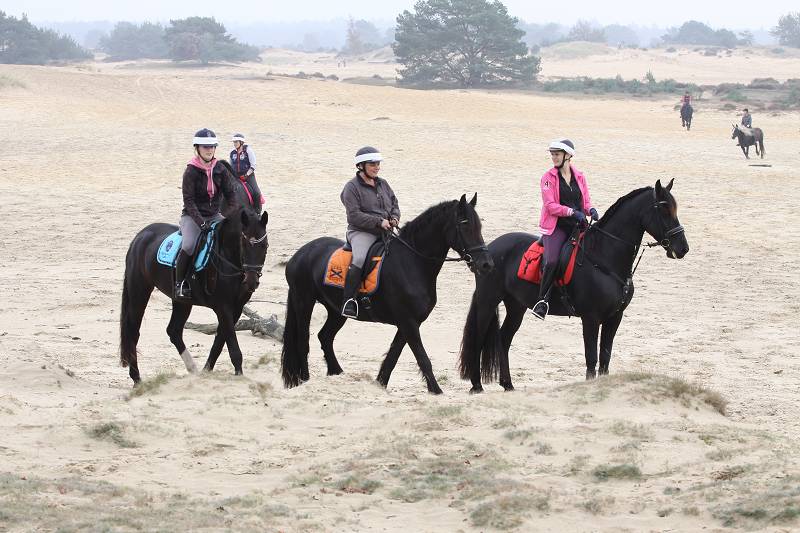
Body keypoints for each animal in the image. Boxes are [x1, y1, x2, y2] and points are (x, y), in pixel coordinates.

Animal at [119, 164, 269, 385]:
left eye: (264, 245)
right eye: (244, 243)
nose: (251, 281)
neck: (227, 256)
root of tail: (140, 236)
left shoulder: (236, 307)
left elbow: (220, 339)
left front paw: (208, 370)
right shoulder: (223, 306)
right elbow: (232, 344)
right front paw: (239, 375)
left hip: (181, 300)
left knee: (173, 331)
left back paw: (193, 369)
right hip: (140, 290)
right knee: (133, 331)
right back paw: (137, 378)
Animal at [280, 194, 494, 394]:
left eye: (479, 226)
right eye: (464, 226)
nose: (486, 264)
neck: (413, 262)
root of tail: (300, 254)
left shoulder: (409, 322)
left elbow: (393, 355)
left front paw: (380, 383)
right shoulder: (408, 322)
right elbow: (422, 358)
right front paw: (436, 391)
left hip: (336, 311)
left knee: (325, 337)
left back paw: (337, 374)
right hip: (304, 302)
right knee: (303, 342)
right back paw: (305, 381)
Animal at [458, 180, 689, 393]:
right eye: (664, 209)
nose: (683, 248)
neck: (603, 258)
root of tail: (487, 251)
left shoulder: (615, 317)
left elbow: (605, 357)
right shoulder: (591, 318)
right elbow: (592, 358)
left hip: (517, 306)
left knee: (504, 339)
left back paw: (508, 384)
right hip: (488, 301)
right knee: (478, 339)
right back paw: (477, 385)